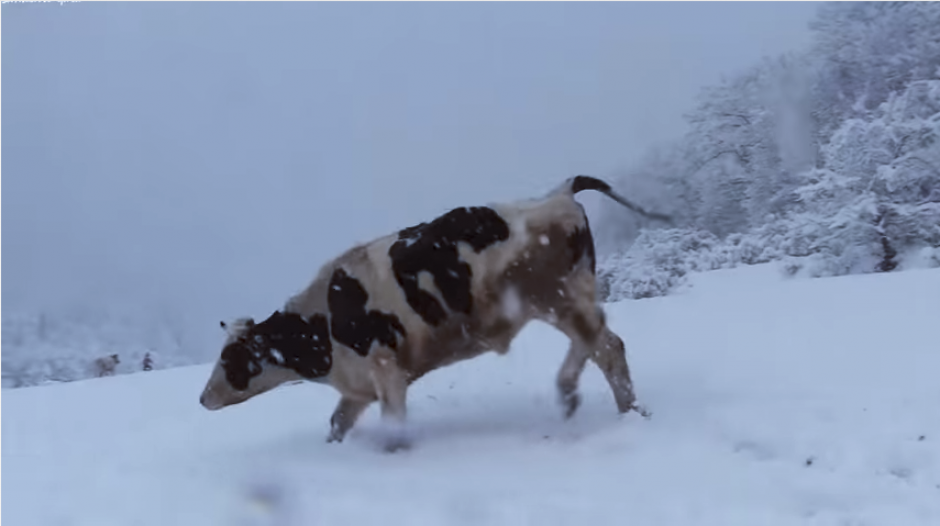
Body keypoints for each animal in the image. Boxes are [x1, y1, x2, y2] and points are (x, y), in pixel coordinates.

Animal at [199, 175, 668, 451]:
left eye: (229, 357)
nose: (203, 398)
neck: (322, 329)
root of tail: (558, 193)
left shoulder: (384, 369)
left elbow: (393, 422)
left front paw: (396, 451)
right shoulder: (357, 387)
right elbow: (336, 424)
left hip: (557, 295)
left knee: (598, 341)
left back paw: (571, 393)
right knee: (606, 346)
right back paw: (629, 412)